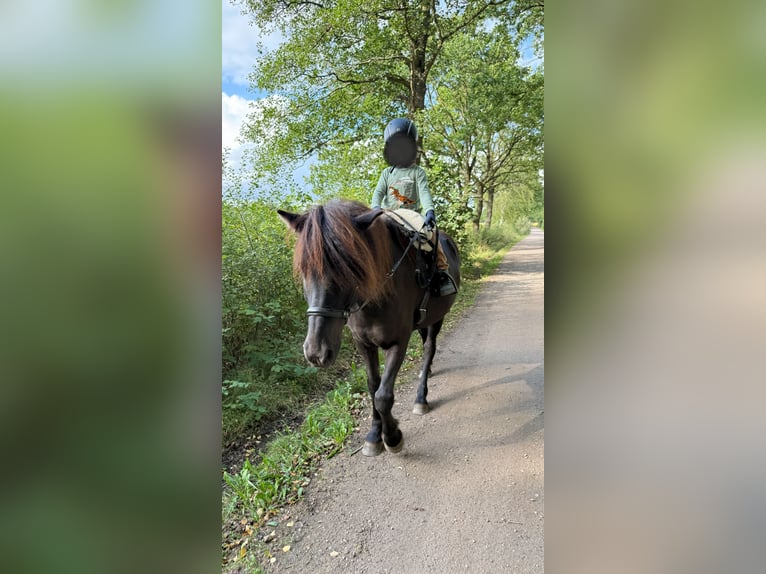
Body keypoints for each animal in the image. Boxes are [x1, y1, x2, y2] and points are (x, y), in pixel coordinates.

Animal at [278, 199, 461, 456]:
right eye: (304, 268)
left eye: (351, 266)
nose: (316, 353)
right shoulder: (363, 344)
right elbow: (373, 387)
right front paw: (375, 435)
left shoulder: (399, 342)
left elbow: (383, 395)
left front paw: (392, 436)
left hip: (437, 319)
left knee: (428, 349)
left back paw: (420, 398)